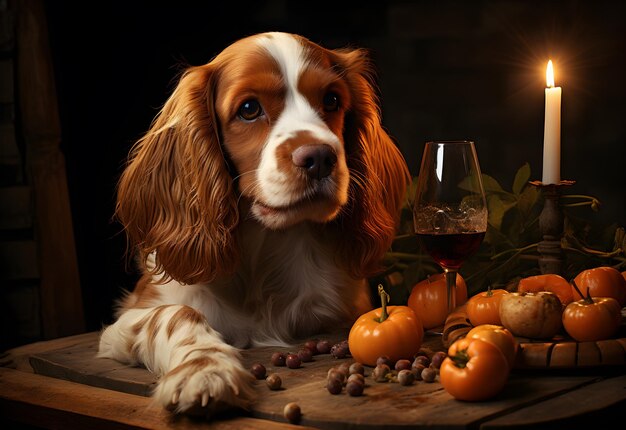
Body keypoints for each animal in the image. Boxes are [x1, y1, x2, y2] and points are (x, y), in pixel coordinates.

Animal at [97, 31, 410, 414]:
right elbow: (176, 314)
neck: (265, 249)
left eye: (332, 100)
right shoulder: (126, 318)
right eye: (249, 109)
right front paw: (205, 371)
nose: (320, 158)